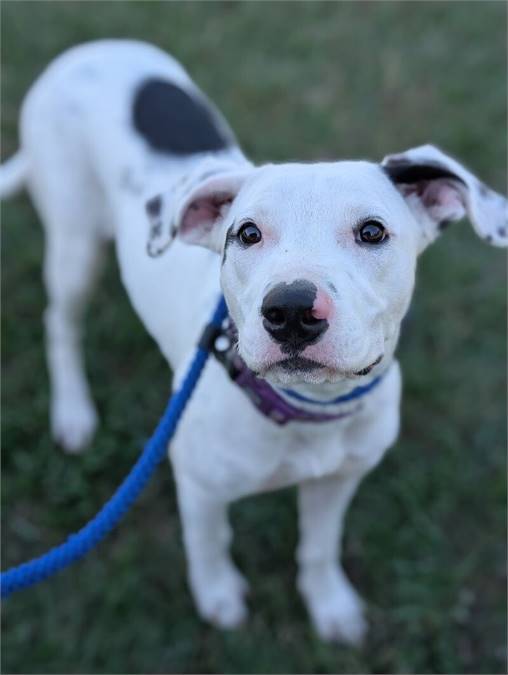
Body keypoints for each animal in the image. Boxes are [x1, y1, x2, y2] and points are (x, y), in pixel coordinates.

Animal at [1, 41, 506, 644]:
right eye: (246, 234)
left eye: (372, 232)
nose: (291, 311)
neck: (307, 411)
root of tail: (90, 49)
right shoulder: (198, 487)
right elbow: (210, 543)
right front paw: (218, 596)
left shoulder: (341, 479)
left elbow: (319, 546)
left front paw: (329, 605)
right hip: (74, 245)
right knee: (61, 323)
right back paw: (74, 412)